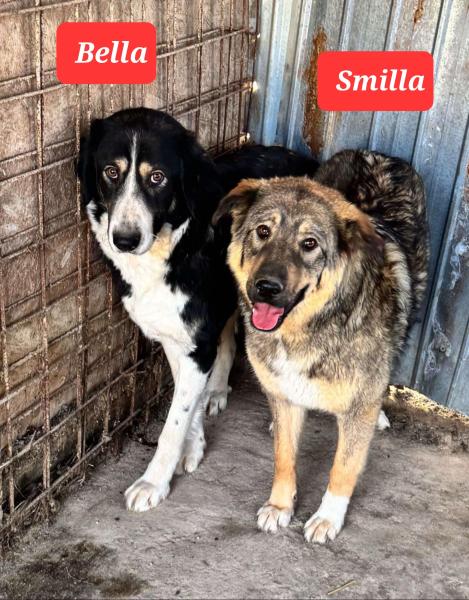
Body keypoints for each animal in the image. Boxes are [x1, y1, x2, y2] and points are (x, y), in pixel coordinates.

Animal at [77, 107, 318, 512]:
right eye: (111, 171)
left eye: (157, 177)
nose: (124, 240)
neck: (177, 245)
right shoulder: (180, 338)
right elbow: (186, 403)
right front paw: (195, 445)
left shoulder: (196, 342)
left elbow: (172, 424)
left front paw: (154, 481)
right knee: (229, 343)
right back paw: (219, 390)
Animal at [213, 149, 428, 543]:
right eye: (262, 231)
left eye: (309, 244)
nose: (265, 288)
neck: (306, 331)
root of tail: (377, 154)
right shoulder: (283, 394)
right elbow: (284, 456)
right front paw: (280, 505)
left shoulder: (357, 409)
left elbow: (342, 467)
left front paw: (328, 517)